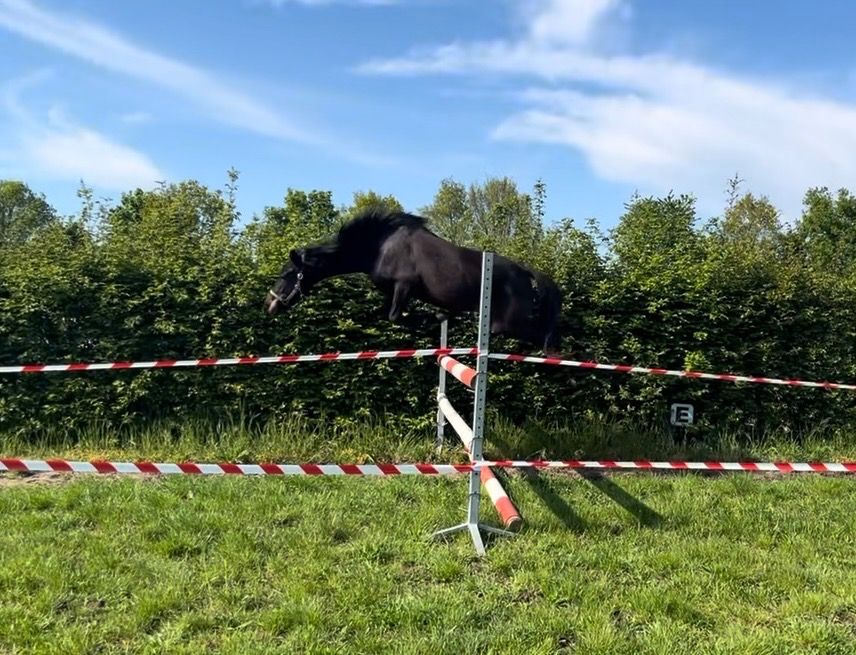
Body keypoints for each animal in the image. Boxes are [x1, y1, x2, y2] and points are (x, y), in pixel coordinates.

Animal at [264, 207, 563, 352]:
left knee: (542, 335)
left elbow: (395, 316)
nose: (269, 304)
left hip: (511, 324)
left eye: (287, 275)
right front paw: (439, 318)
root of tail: (525, 272)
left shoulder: (404, 286)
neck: (378, 248)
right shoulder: (391, 293)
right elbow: (384, 314)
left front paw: (435, 319)